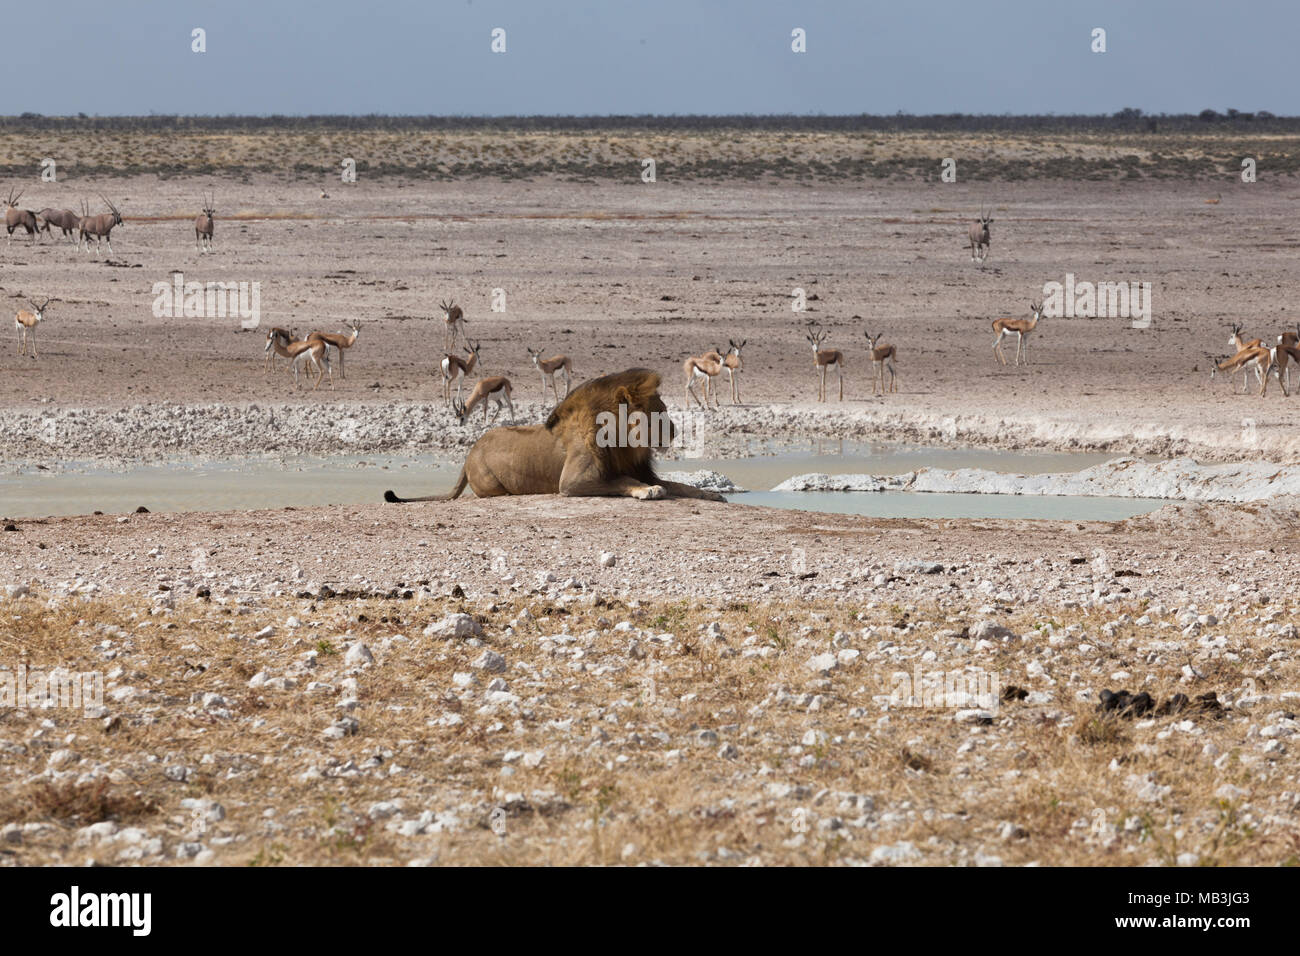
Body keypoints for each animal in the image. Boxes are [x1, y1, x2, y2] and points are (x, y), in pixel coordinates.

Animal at [384, 366, 728, 504]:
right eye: (660, 411)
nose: (673, 430)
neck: (623, 441)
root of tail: (470, 452)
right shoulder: (573, 482)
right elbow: (622, 480)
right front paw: (646, 491)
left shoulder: (641, 467)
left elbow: (682, 485)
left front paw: (712, 494)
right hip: (494, 486)